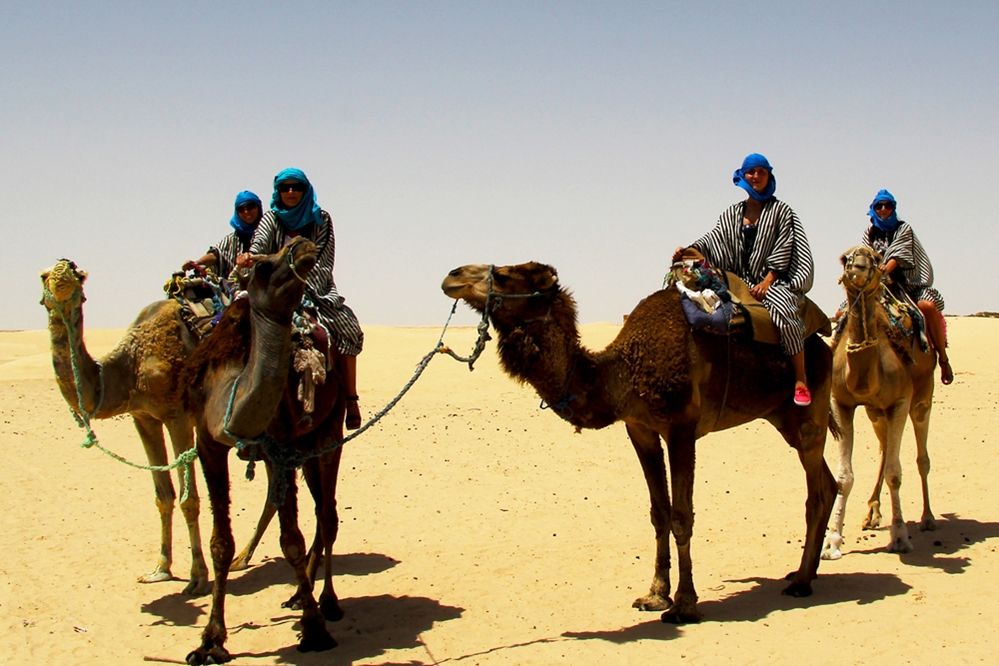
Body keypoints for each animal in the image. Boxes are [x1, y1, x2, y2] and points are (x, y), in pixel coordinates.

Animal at [40, 259, 211, 595]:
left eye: (78, 277)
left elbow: (189, 500)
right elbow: (163, 496)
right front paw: (160, 568)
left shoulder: (178, 415)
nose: (63, 266)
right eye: (43, 277)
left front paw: (197, 577)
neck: (130, 365)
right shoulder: (143, 417)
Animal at [183, 236, 347, 664]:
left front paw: (315, 630)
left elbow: (292, 540)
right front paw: (210, 640)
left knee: (327, 515)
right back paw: (299, 595)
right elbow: (221, 543)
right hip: (305, 447)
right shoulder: (207, 443)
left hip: (328, 431)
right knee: (317, 511)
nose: (301, 245)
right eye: (260, 267)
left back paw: (327, 601)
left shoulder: (281, 448)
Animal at [442, 261, 838, 623]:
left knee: (816, 492)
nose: (452, 276)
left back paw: (801, 582)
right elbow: (658, 513)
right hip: (782, 418)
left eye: (505, 274)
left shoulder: (681, 427)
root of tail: (824, 345)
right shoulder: (640, 429)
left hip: (809, 411)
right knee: (829, 483)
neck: (622, 372)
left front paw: (685, 604)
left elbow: (681, 515)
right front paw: (655, 595)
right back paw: (805, 571)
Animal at [821, 246, 936, 560]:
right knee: (885, 450)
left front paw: (900, 537)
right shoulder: (840, 403)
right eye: (845, 258)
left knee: (921, 456)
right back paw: (872, 513)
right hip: (875, 412)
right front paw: (832, 541)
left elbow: (895, 474)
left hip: (922, 395)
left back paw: (928, 518)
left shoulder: (900, 400)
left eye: (874, 257)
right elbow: (843, 477)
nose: (858, 268)